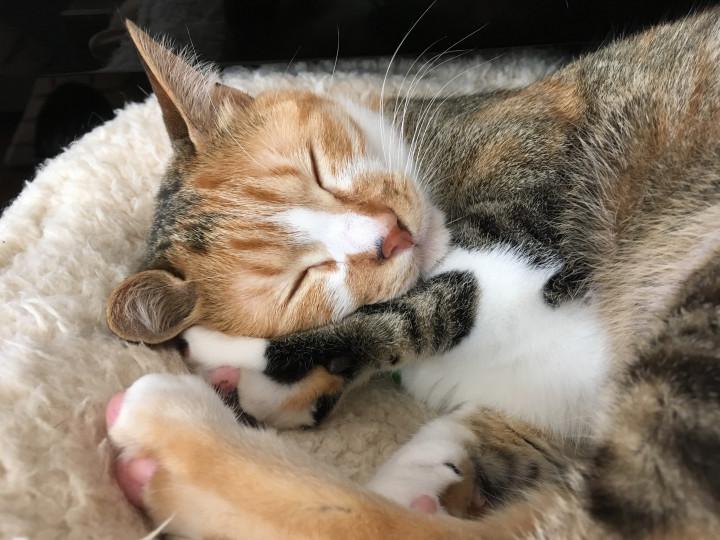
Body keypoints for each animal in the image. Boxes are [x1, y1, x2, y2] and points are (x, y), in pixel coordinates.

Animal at [107, 12, 720, 539]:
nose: (391, 234)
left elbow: (426, 303)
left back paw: (176, 434)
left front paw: (241, 358)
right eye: (302, 280)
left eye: (317, 166)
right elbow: (469, 435)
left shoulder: (528, 194)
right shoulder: (543, 405)